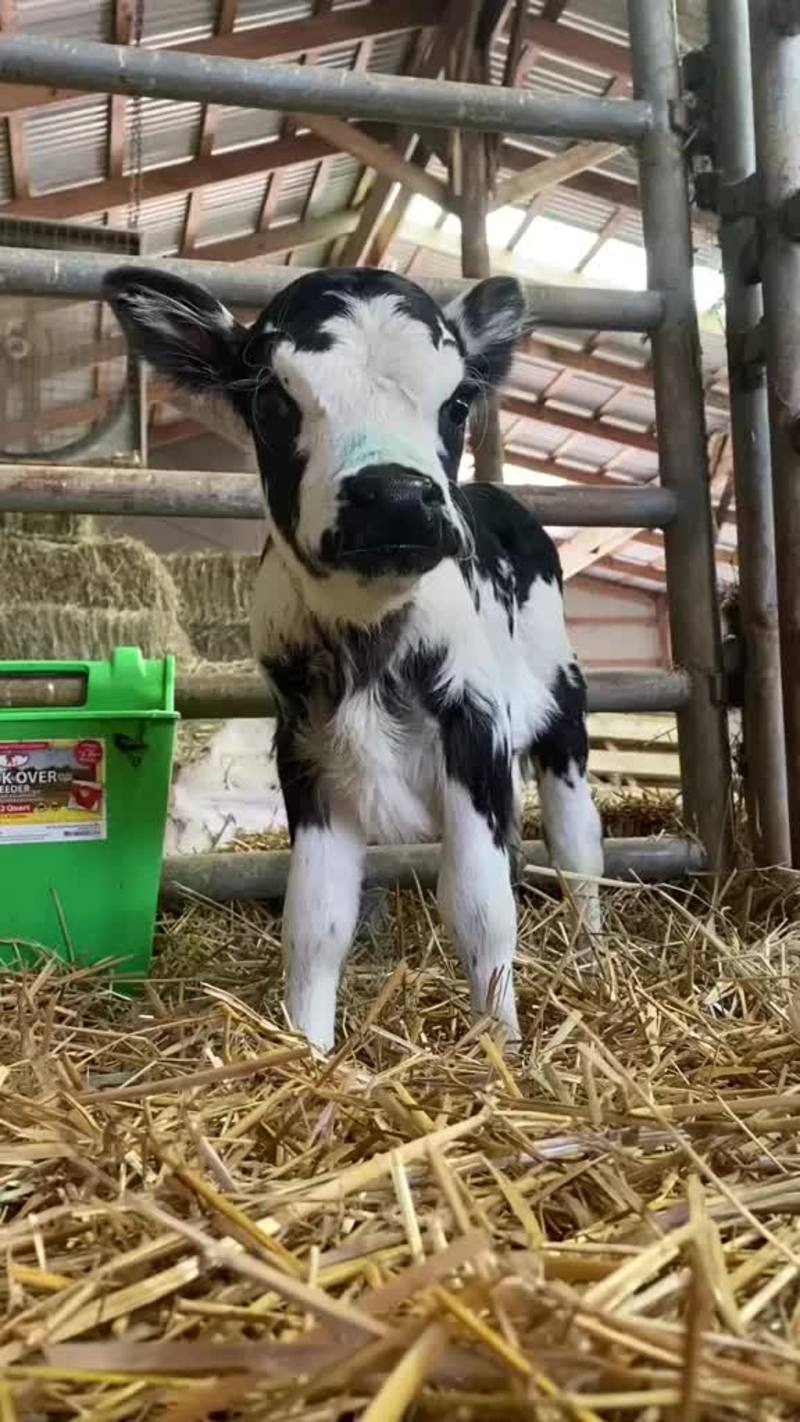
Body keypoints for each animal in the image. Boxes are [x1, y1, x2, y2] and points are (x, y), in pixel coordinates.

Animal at [104, 264, 604, 1051]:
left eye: (457, 402)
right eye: (274, 401)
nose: (395, 495)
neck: (368, 636)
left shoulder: (477, 735)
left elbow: (481, 908)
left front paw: (503, 1047)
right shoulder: (305, 754)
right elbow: (315, 920)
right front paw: (308, 1049)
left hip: (564, 709)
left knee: (581, 850)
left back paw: (592, 960)